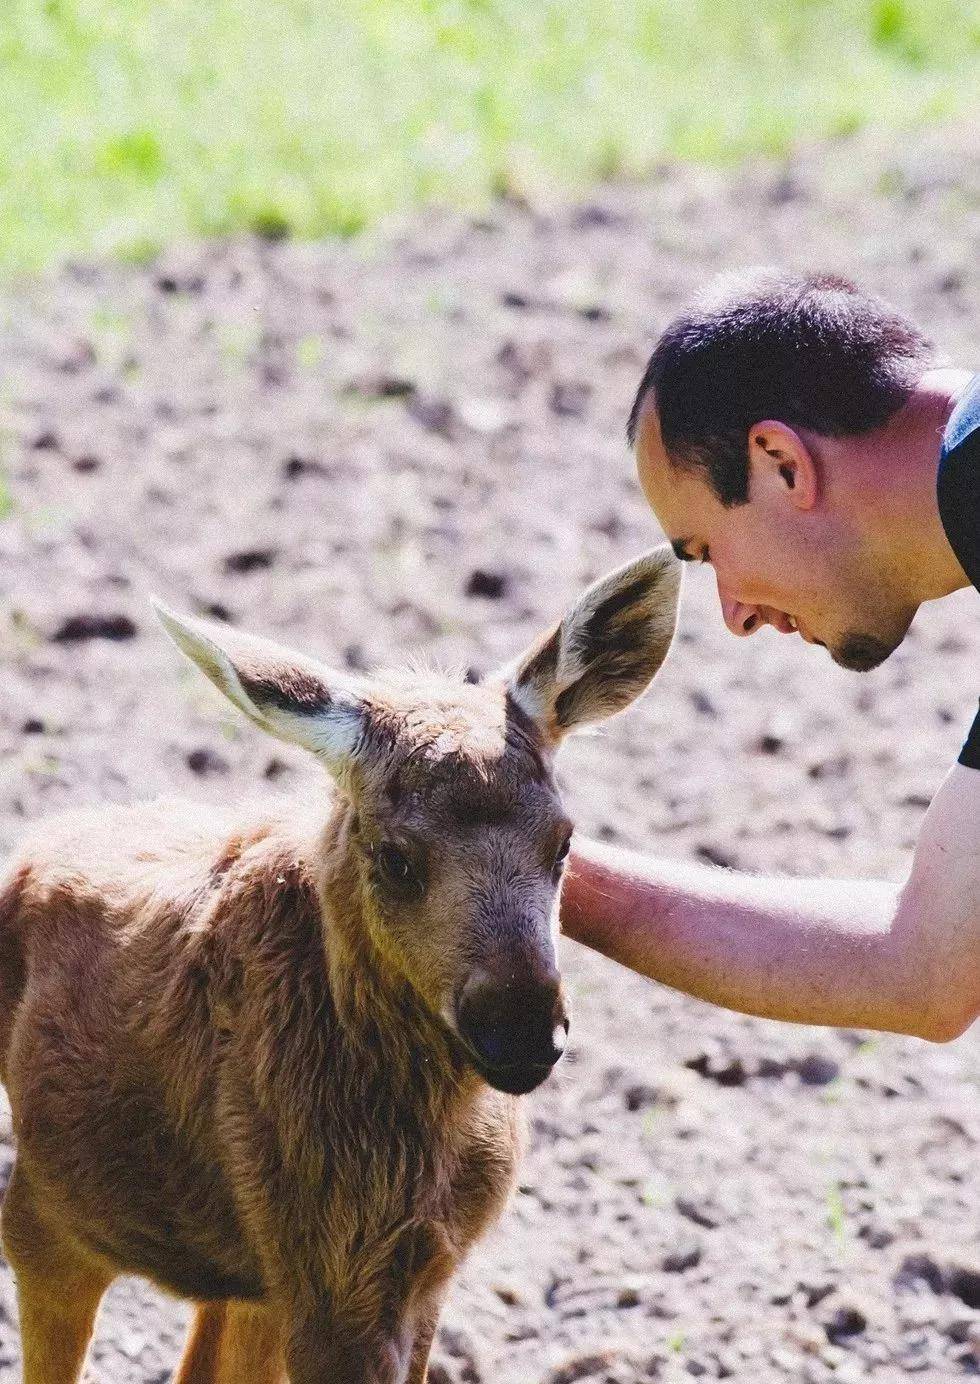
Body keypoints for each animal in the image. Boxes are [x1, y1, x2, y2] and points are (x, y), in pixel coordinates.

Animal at [0, 545, 678, 1378]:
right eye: (396, 857)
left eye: (565, 841)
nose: (521, 1031)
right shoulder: (334, 1274)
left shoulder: (416, 1268)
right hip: (52, 1216)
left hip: (246, 1267)